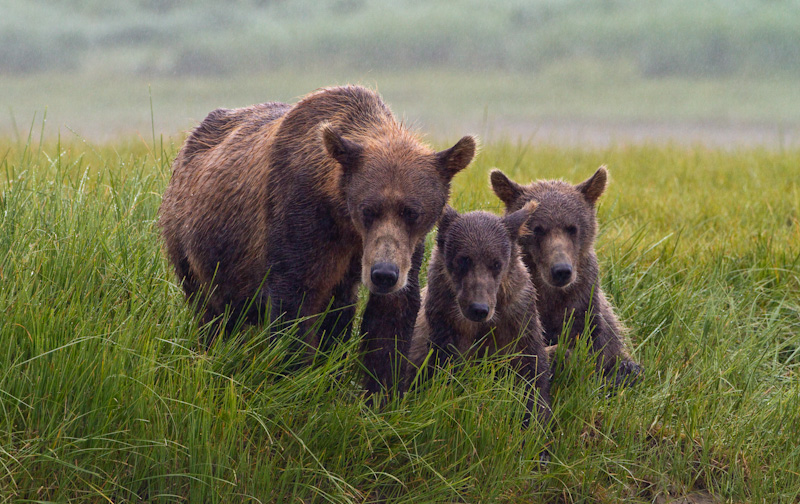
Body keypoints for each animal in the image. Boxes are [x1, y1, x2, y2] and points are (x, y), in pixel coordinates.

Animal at [159, 85, 478, 398]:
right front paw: (294, 380)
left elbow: (391, 316)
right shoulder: (301, 218)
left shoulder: (403, 249)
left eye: (411, 212)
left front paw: (381, 393)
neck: (341, 213)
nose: (384, 274)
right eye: (368, 209)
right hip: (192, 239)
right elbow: (296, 301)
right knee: (209, 309)